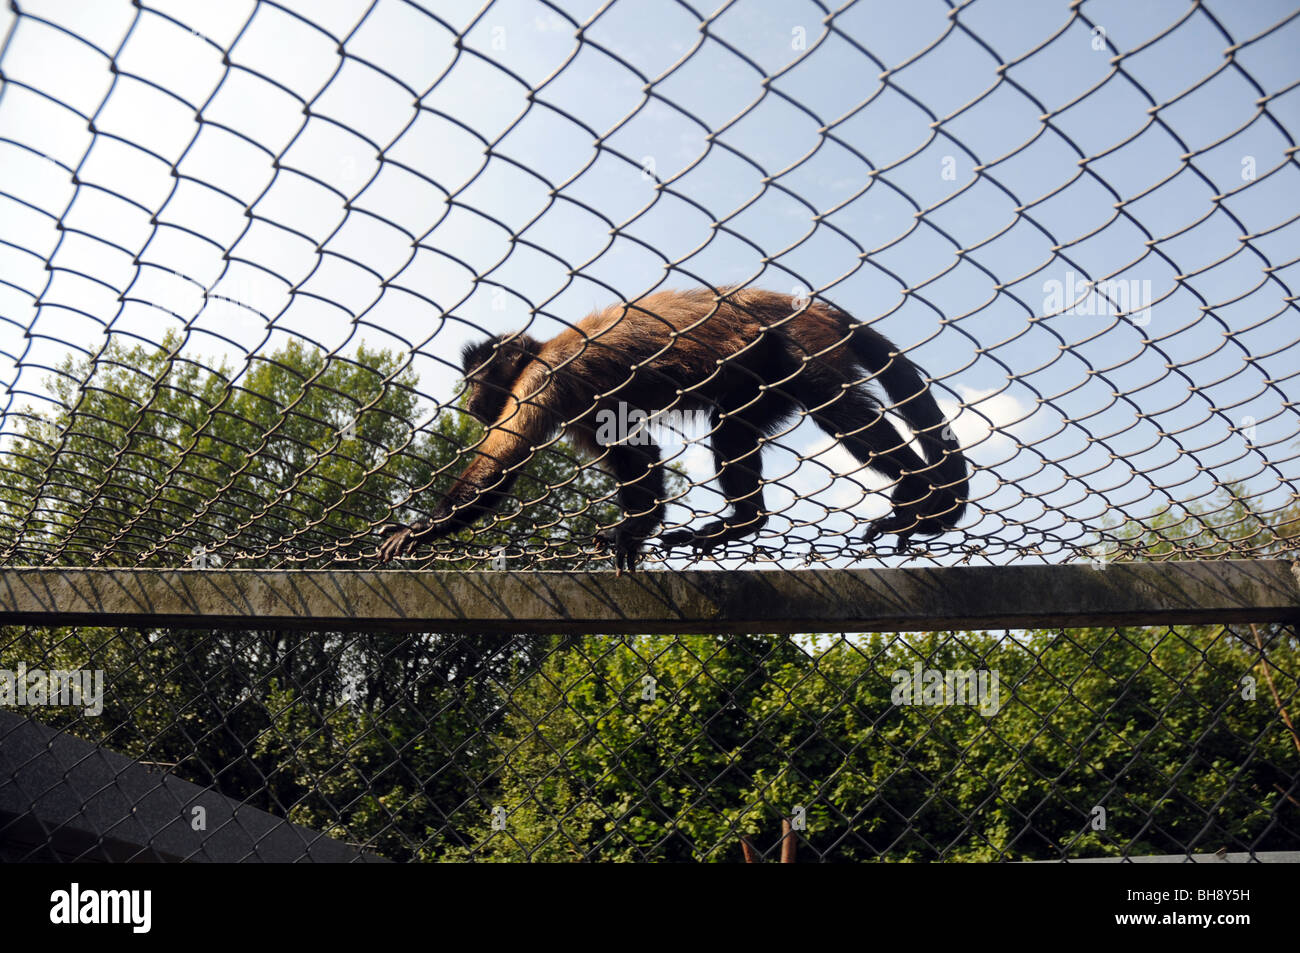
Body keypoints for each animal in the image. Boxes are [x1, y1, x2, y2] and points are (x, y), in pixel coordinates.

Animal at [377, 288, 967, 572]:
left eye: (475, 380)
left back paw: (919, 495)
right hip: (763, 378)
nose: (468, 399)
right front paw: (635, 528)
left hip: (798, 341)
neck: (539, 352)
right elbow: (635, 452)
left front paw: (419, 529)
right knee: (730, 426)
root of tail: (805, 305)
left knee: (835, 407)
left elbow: (501, 464)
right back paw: (744, 523)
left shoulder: (543, 380)